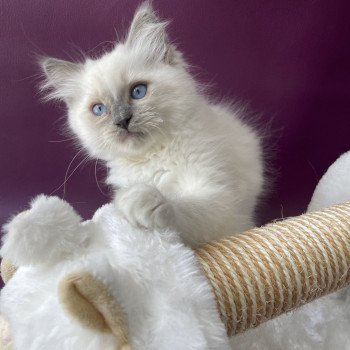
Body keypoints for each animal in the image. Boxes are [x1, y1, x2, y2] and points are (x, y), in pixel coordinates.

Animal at [41, 2, 264, 246]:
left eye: (138, 91)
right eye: (99, 110)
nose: (122, 121)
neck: (153, 157)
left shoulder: (224, 206)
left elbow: (186, 208)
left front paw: (140, 200)